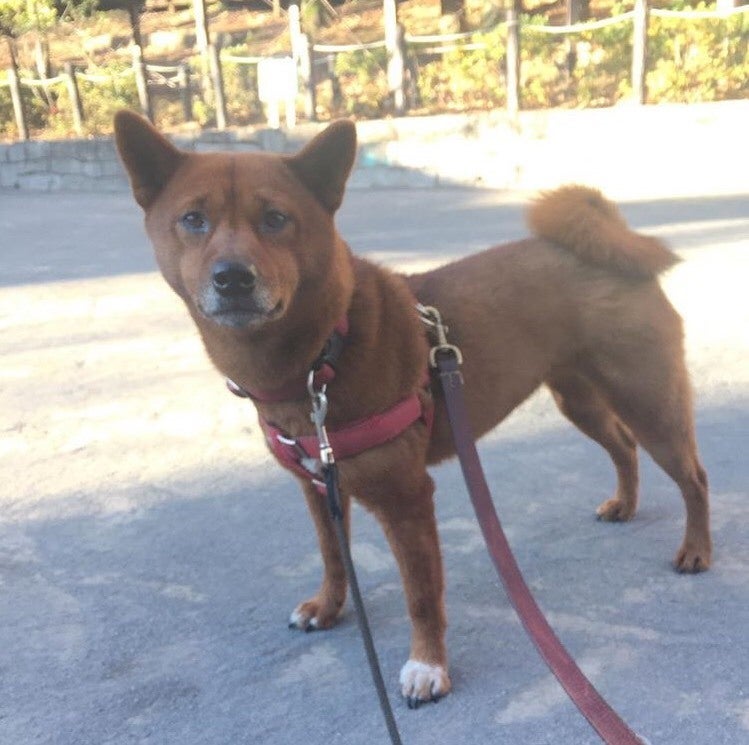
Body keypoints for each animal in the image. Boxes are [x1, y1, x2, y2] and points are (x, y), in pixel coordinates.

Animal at [114, 112, 712, 708]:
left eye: (276, 219)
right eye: (193, 219)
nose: (233, 277)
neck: (323, 356)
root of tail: (612, 245)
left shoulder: (406, 501)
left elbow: (420, 595)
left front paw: (428, 667)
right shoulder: (318, 488)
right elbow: (333, 556)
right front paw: (329, 607)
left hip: (649, 402)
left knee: (693, 477)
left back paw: (697, 550)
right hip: (579, 400)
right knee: (623, 446)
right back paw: (625, 504)